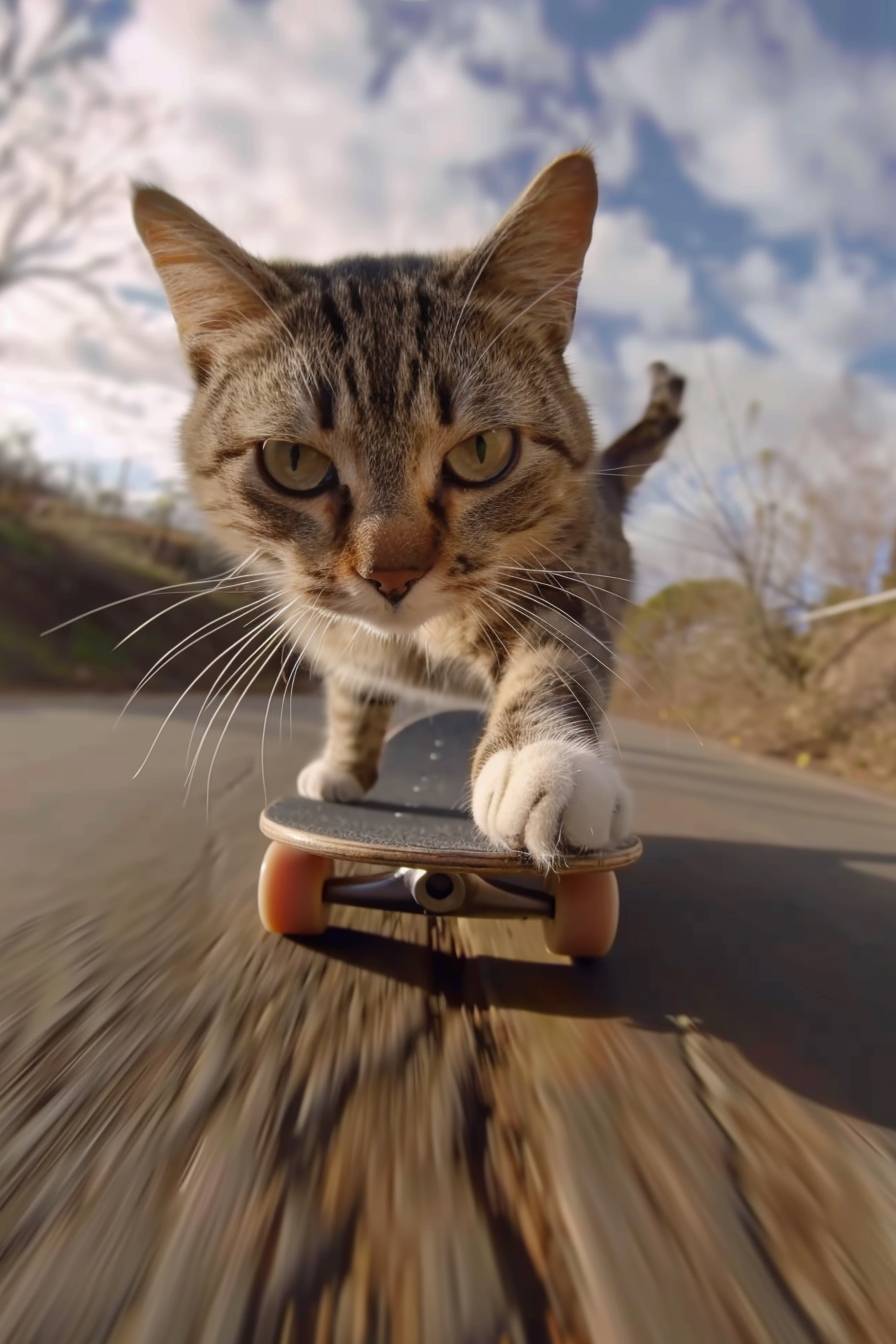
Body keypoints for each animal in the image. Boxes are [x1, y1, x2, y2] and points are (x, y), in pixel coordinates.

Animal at [135, 152, 687, 865]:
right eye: (293, 461)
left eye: (482, 451)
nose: (392, 575)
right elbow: (351, 689)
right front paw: (344, 765)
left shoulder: (575, 574)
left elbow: (556, 657)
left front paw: (545, 763)